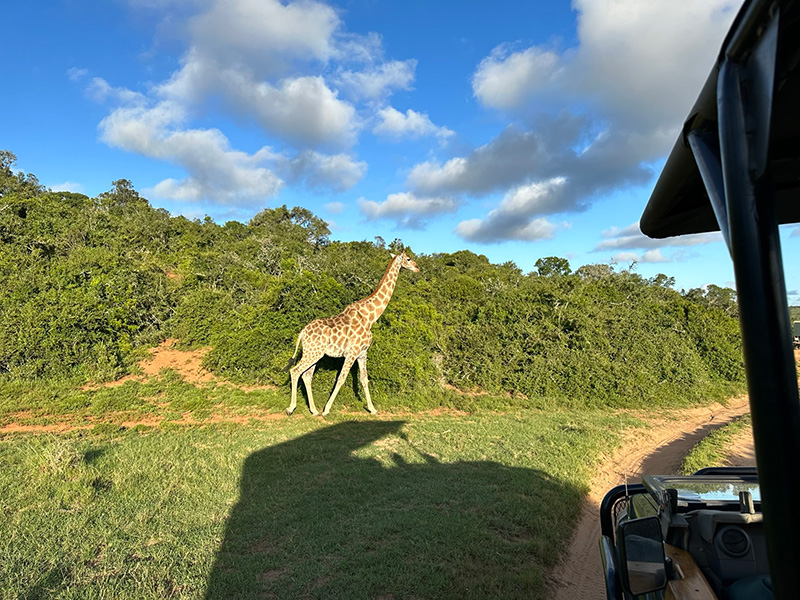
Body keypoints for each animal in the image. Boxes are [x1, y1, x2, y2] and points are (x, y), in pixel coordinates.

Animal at [282, 251, 418, 414]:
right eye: (408, 259)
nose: (417, 268)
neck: (370, 318)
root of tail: (302, 333)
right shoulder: (352, 352)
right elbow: (341, 378)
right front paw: (327, 409)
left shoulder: (362, 353)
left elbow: (364, 379)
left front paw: (372, 409)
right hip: (313, 353)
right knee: (295, 371)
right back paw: (291, 408)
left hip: (314, 353)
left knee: (307, 376)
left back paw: (314, 410)